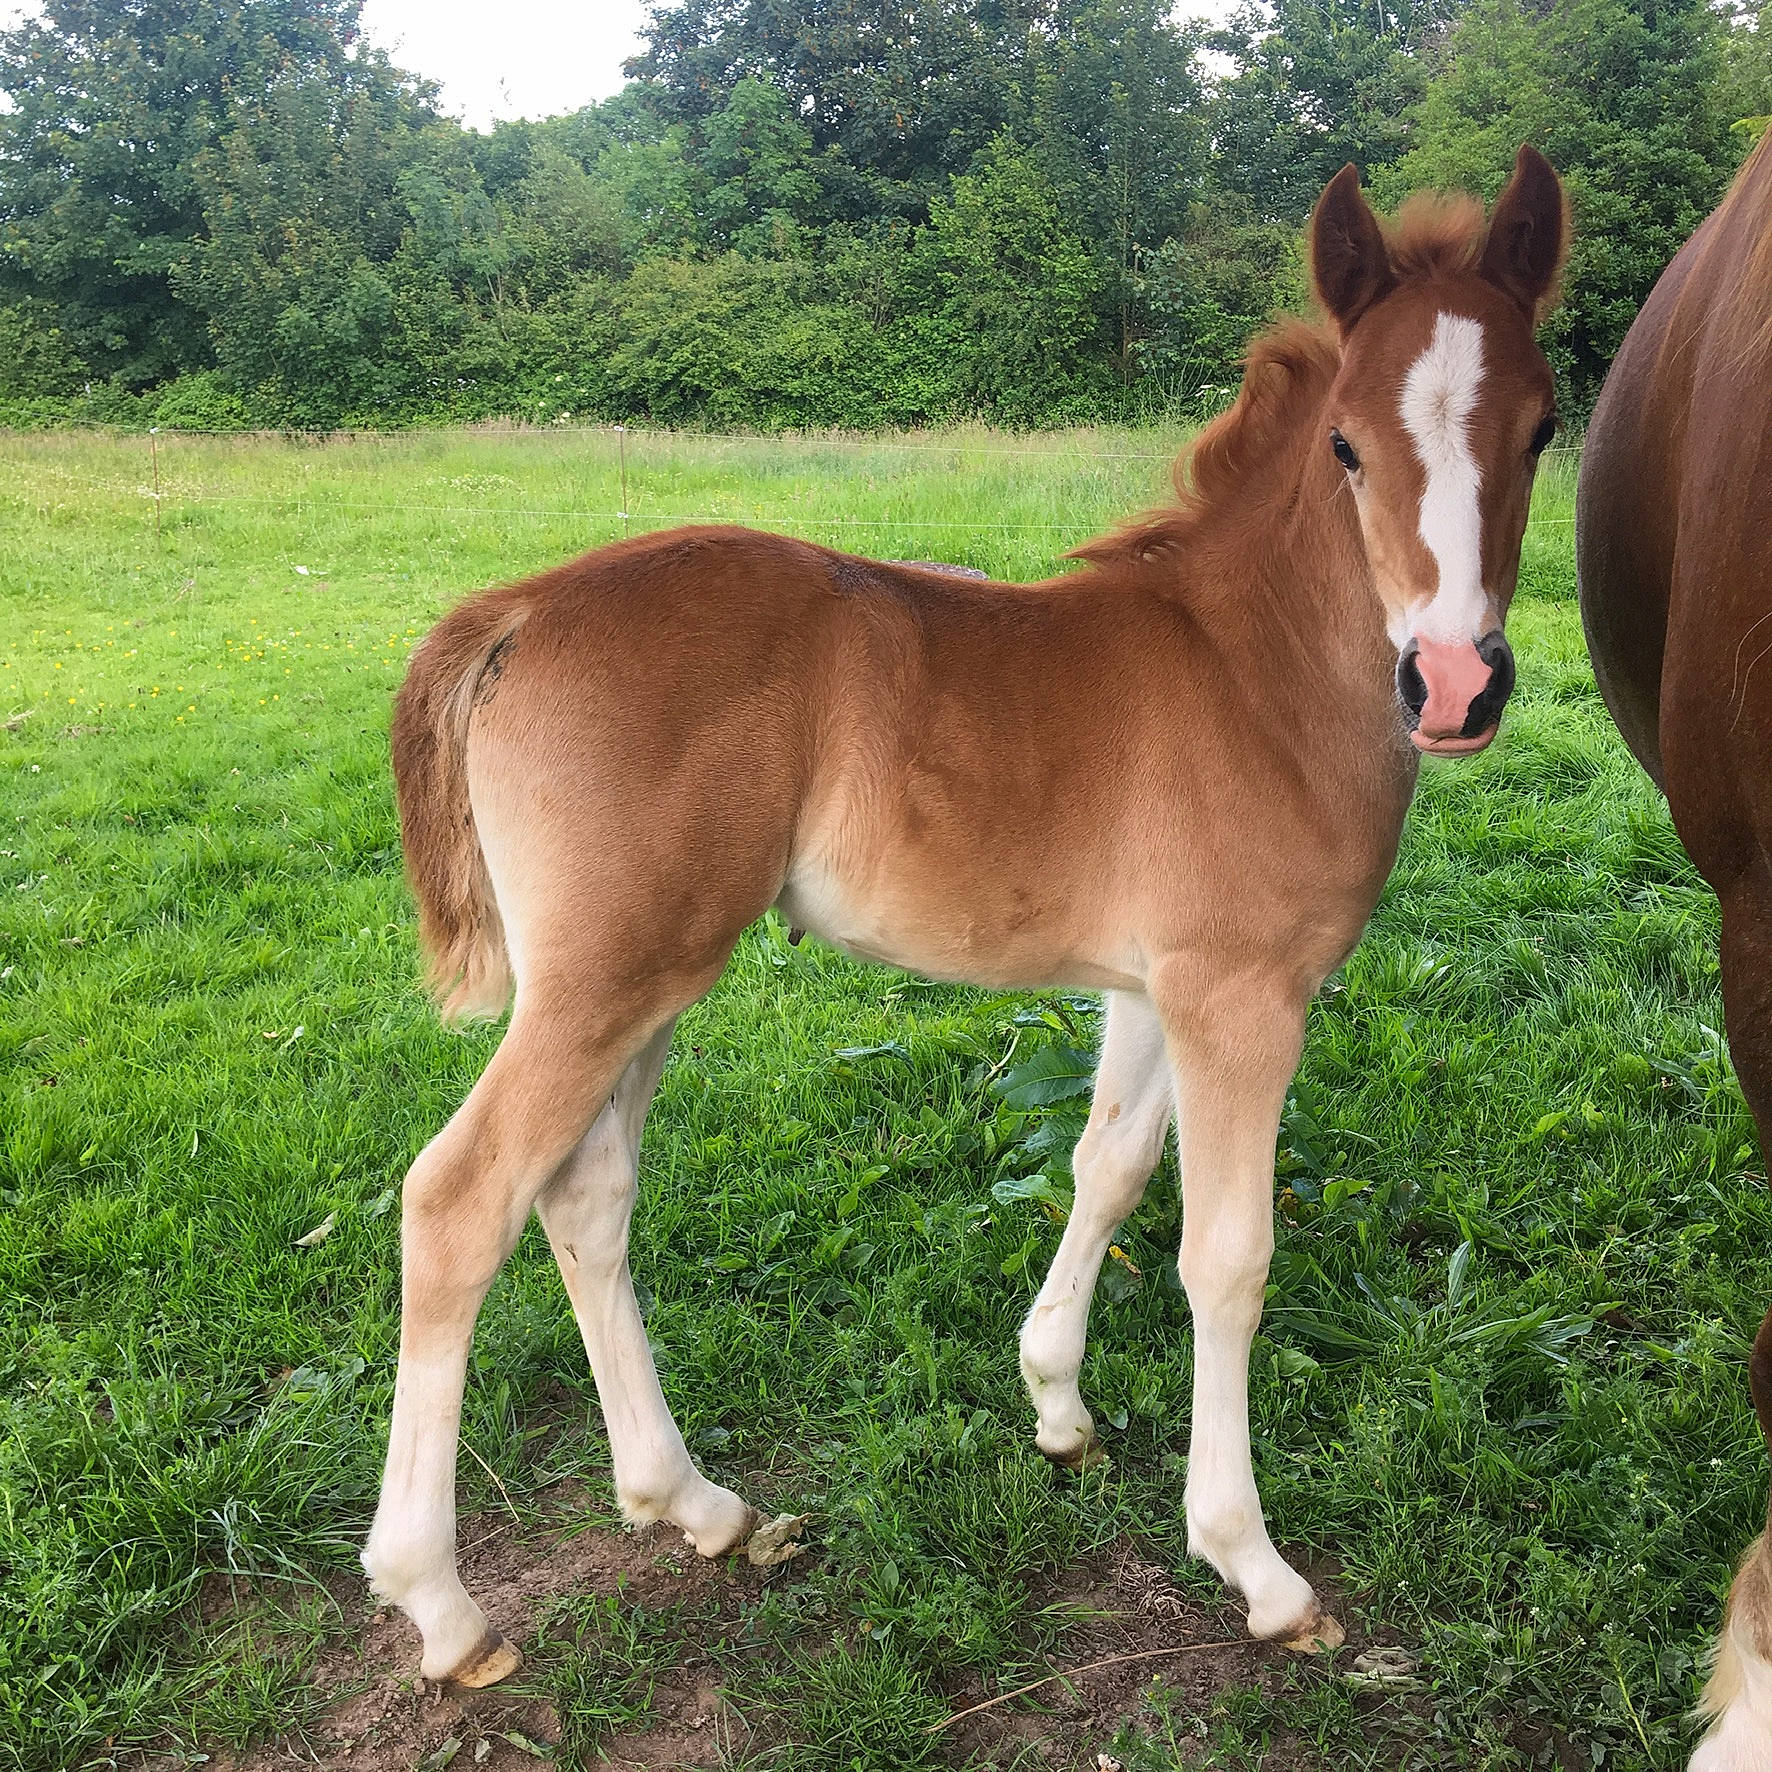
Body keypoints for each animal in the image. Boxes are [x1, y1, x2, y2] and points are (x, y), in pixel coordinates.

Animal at [362, 147, 1569, 1689]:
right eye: (1350, 446)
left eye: (1541, 431)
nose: (1456, 683)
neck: (1252, 670)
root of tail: (514, 610)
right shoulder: (1243, 995)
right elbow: (1226, 1255)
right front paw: (1252, 1563)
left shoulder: (1150, 985)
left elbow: (1105, 1170)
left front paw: (1056, 1403)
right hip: (605, 980)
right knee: (459, 1201)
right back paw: (442, 1604)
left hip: (646, 979)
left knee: (582, 1195)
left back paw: (694, 1503)